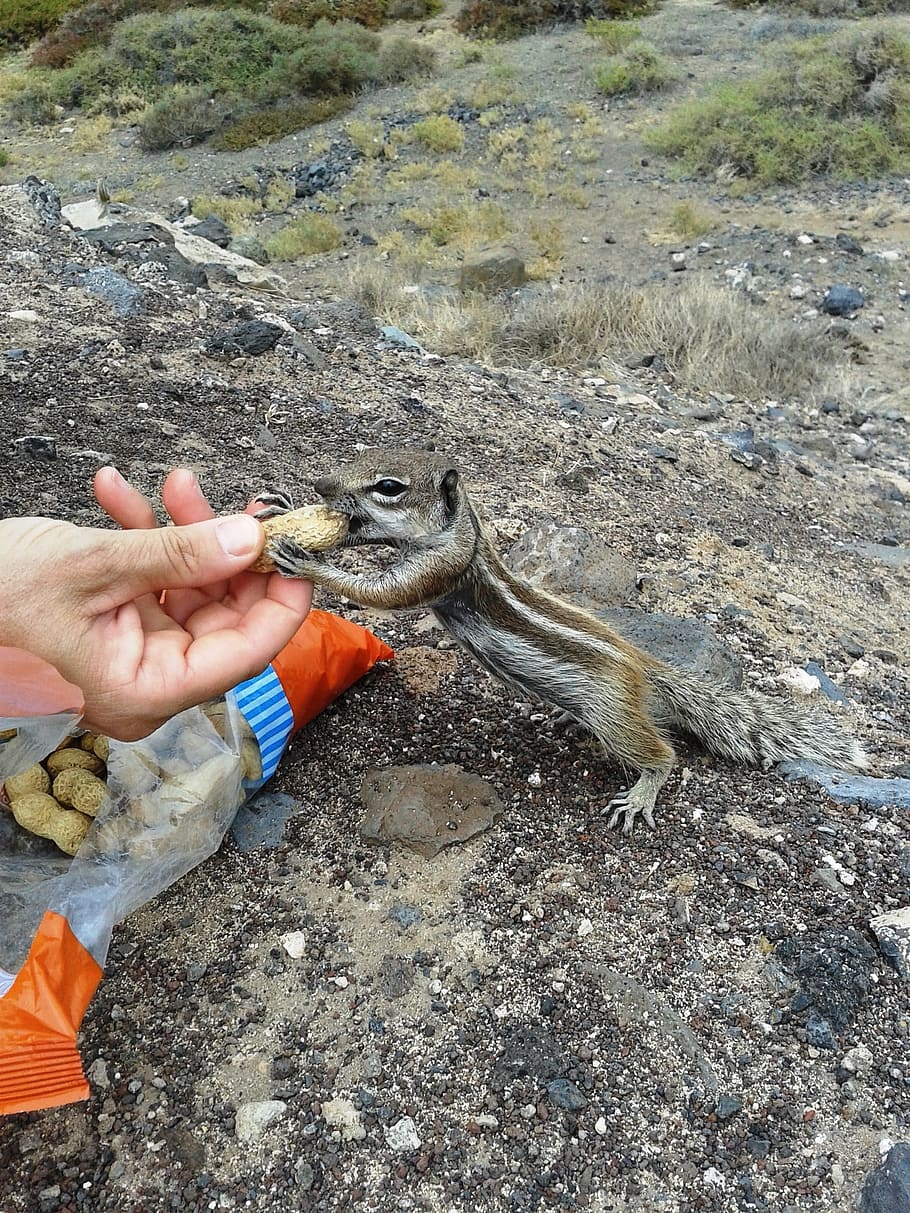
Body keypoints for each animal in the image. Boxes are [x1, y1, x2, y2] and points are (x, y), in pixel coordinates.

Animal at [256, 448, 868, 834]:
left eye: (388, 487)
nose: (320, 487)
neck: (464, 531)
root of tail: (643, 666)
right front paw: (283, 510)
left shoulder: (439, 569)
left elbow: (384, 591)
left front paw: (307, 562)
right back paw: (567, 721)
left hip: (613, 712)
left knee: (661, 753)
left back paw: (642, 791)